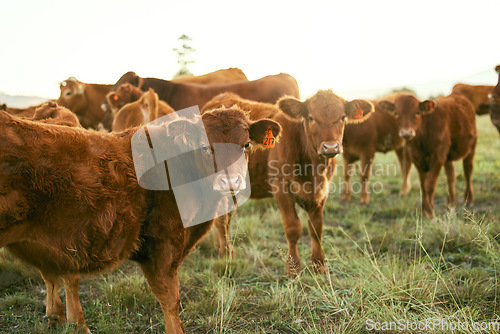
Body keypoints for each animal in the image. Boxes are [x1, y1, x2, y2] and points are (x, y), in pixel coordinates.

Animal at [0, 107, 282, 334]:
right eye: (204, 147)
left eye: (246, 144)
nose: (230, 181)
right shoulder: (164, 241)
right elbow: (170, 299)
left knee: (54, 273)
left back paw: (59, 317)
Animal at [201, 89, 374, 274]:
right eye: (311, 117)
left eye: (342, 117)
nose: (331, 147)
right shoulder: (281, 188)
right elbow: (293, 228)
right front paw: (293, 268)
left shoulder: (322, 191)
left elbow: (316, 228)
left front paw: (319, 266)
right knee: (221, 219)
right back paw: (226, 254)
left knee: (225, 217)